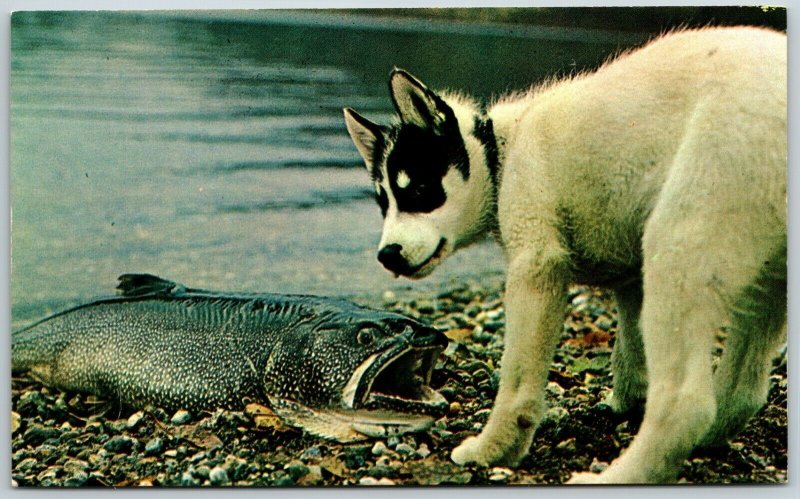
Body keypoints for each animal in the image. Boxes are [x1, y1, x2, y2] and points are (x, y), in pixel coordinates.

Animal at [344, 28, 788, 484]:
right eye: (383, 202)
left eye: (419, 191)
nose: (388, 256)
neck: (501, 151)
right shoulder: (631, 278)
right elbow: (629, 352)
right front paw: (627, 403)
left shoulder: (537, 266)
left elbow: (518, 377)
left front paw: (495, 449)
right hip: (765, 281)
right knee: (743, 391)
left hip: (680, 245)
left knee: (688, 401)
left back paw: (618, 476)